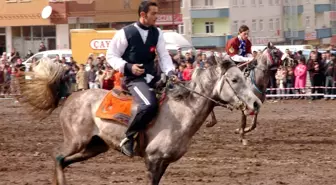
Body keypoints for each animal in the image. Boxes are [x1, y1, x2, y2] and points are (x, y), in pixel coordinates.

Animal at [17, 56, 262, 185]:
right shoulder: (152, 160)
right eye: (234, 79)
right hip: (75, 141)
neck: (181, 113)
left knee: (63, 161)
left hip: (95, 146)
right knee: (57, 156)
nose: (256, 103)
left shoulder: (164, 162)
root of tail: (69, 96)